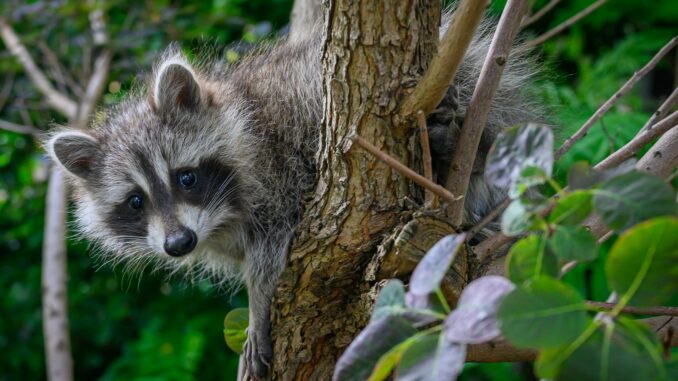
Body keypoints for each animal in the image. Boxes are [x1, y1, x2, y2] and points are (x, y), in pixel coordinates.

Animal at [43, 15, 540, 380]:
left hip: (467, 86)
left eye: (186, 178)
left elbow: (271, 251)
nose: (179, 244)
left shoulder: (279, 169)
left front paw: (258, 305)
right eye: (135, 202)